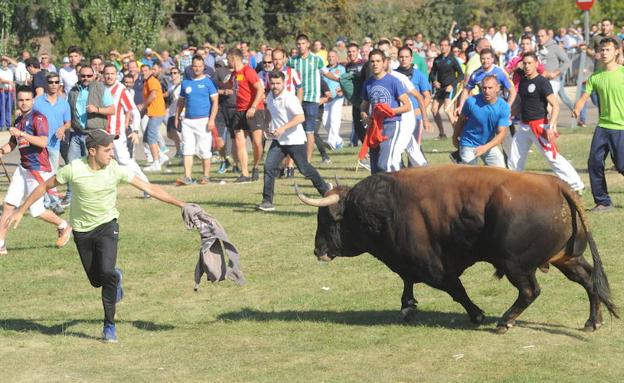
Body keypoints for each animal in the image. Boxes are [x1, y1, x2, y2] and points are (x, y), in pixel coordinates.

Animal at [294, 166, 616, 334]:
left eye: (326, 219)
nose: (317, 250)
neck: (388, 205)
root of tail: (556, 185)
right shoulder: (408, 262)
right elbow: (407, 284)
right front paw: (407, 308)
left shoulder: (435, 267)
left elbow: (455, 289)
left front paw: (478, 315)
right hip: (567, 257)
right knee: (589, 280)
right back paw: (592, 321)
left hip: (515, 264)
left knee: (529, 291)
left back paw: (504, 321)